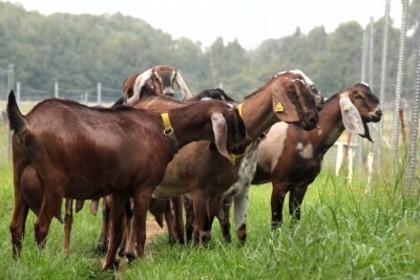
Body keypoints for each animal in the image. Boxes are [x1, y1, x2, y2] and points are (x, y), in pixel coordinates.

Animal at [7, 88, 249, 270]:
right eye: (233, 120)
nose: (245, 143)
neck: (163, 129)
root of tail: (26, 122)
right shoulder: (143, 188)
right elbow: (140, 231)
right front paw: (140, 263)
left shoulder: (120, 191)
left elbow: (117, 231)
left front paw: (108, 265)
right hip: (54, 183)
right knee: (40, 226)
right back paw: (39, 263)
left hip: (18, 177)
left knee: (16, 226)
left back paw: (18, 266)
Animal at [215, 82, 382, 241]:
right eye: (358, 95)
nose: (379, 113)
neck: (305, 137)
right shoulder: (280, 182)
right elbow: (277, 219)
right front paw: (275, 244)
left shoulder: (301, 184)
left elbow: (295, 217)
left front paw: (292, 240)